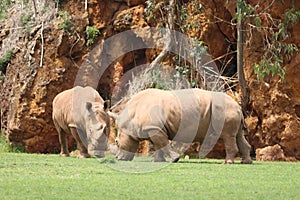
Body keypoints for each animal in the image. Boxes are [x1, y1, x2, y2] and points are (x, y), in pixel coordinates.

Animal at [109, 88, 252, 163]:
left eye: (116, 142)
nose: (118, 158)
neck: (131, 117)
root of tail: (238, 106)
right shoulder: (154, 128)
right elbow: (159, 146)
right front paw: (158, 161)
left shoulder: (154, 128)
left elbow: (163, 144)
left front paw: (174, 159)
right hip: (231, 110)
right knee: (238, 136)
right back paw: (246, 162)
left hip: (225, 110)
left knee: (227, 136)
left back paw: (226, 163)